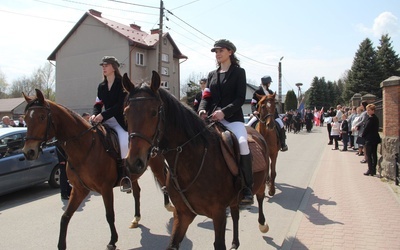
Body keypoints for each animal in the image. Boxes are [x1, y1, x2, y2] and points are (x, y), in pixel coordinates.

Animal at [21, 90, 172, 250]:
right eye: (26, 118)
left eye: (42, 117)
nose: (28, 152)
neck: (84, 146)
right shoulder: (79, 189)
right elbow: (65, 216)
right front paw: (61, 245)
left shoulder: (105, 188)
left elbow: (109, 215)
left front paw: (112, 241)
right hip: (133, 174)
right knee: (137, 192)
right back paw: (136, 218)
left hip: (157, 166)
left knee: (164, 183)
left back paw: (169, 206)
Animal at [122, 71, 268, 249]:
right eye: (126, 113)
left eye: (154, 112)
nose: (133, 162)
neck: (191, 162)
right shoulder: (182, 214)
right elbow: (172, 243)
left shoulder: (218, 214)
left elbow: (219, 244)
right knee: (235, 213)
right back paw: (235, 243)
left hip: (260, 183)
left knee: (260, 197)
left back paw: (263, 224)